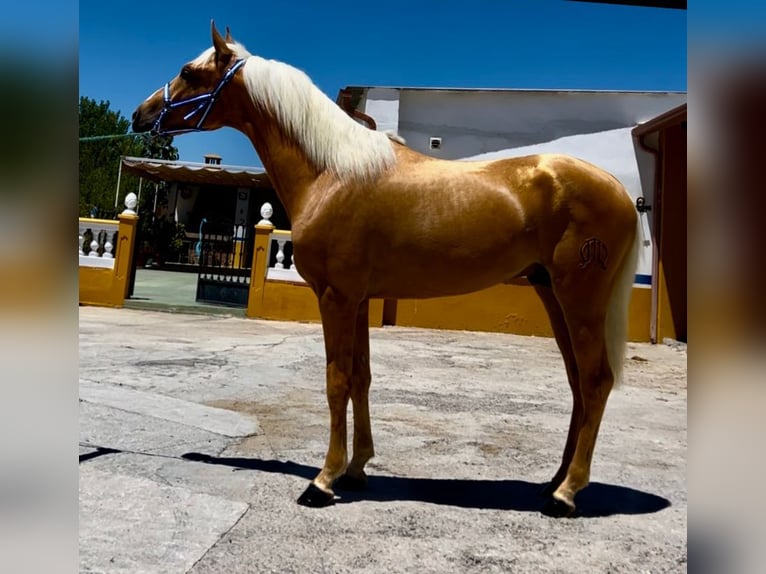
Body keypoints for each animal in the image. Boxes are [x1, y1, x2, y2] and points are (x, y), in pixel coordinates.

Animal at [132, 22, 640, 520]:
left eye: (188, 71)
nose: (141, 114)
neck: (331, 173)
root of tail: (618, 190)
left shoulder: (335, 298)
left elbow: (336, 381)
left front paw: (323, 481)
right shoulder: (358, 300)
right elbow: (361, 378)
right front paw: (356, 468)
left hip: (580, 299)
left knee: (596, 381)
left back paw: (567, 493)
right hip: (552, 295)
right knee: (578, 384)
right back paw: (553, 481)